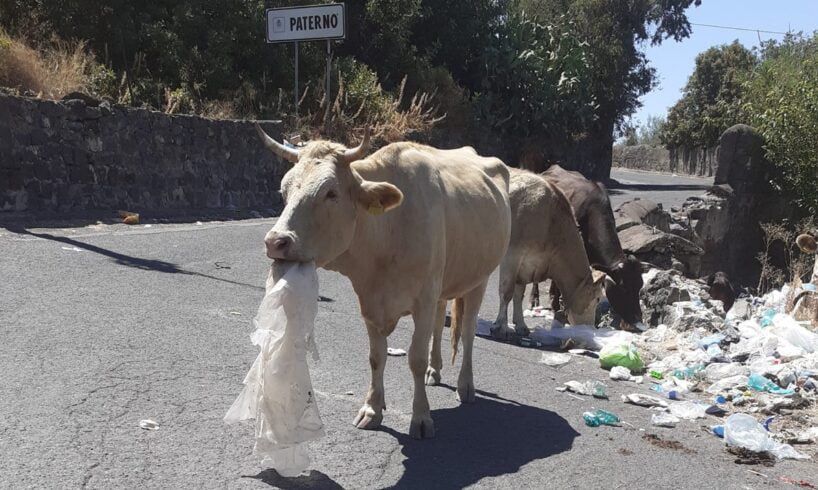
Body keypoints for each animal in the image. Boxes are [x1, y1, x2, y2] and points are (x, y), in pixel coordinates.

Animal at [256, 124, 510, 438]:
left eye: (331, 192)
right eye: (284, 190)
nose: (275, 242)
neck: (388, 231)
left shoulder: (423, 300)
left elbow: (415, 358)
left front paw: (421, 417)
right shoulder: (370, 301)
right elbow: (376, 357)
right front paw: (372, 409)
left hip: (480, 279)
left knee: (468, 330)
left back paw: (466, 385)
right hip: (443, 285)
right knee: (440, 322)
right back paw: (435, 371)